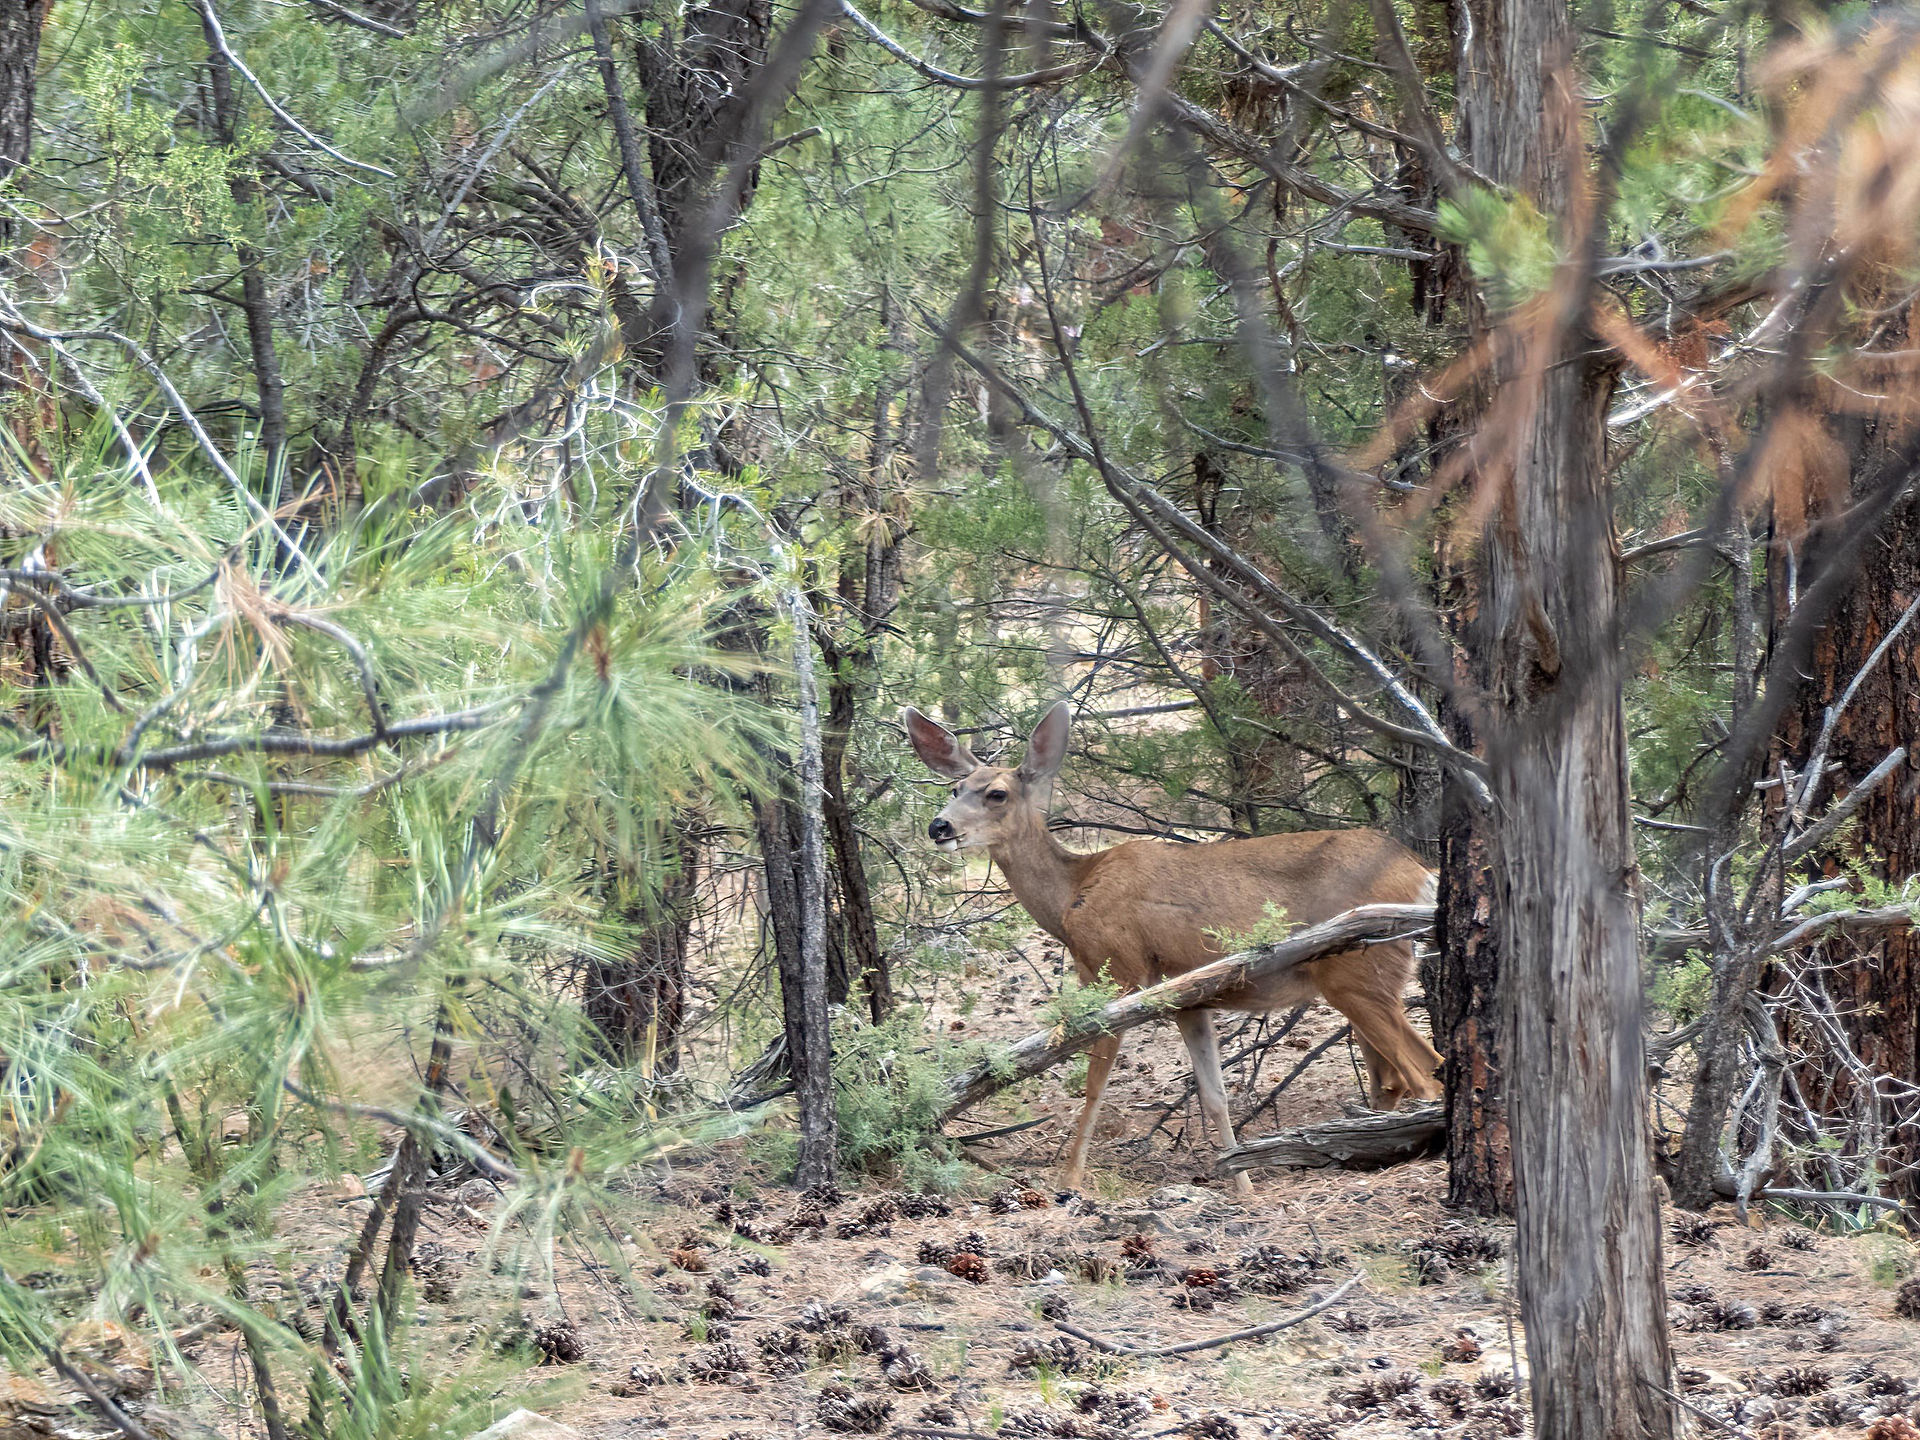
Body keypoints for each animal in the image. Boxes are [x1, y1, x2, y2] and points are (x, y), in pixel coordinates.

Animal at [902, 700, 1443, 1195]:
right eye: (954, 789)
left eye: (996, 793)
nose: (938, 827)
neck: (1073, 894)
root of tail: (1421, 872)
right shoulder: (1188, 1000)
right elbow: (1213, 1095)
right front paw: (1242, 1185)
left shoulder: (1118, 970)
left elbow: (1095, 1084)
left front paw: (1070, 1179)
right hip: (1365, 978)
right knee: (1396, 1077)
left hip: (1359, 973)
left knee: (1424, 1072)